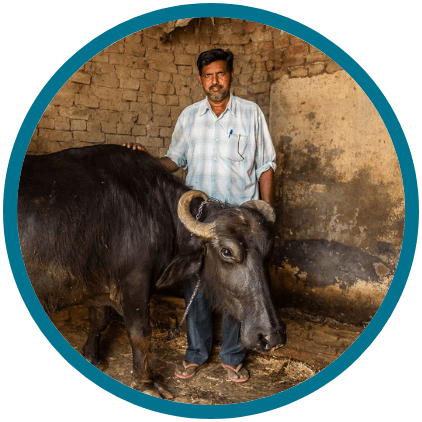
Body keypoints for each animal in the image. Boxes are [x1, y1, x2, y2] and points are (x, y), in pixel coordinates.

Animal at [17, 143, 286, 398]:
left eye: (268, 250)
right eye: (227, 251)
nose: (270, 336)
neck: (156, 209)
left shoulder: (98, 285)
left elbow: (99, 320)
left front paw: (92, 357)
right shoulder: (134, 282)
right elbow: (141, 334)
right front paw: (146, 382)